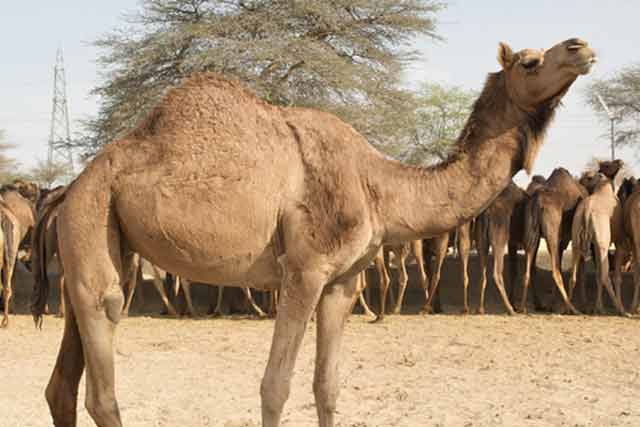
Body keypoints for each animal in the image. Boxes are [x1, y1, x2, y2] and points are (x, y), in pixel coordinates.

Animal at [32, 37, 596, 427]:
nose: (580, 47)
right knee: (101, 374)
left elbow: (328, 385)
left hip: (99, 245)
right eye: (528, 62)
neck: (376, 185)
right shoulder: (303, 271)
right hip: (93, 217)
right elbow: (275, 386)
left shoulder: (342, 282)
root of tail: (68, 188)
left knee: (63, 382)